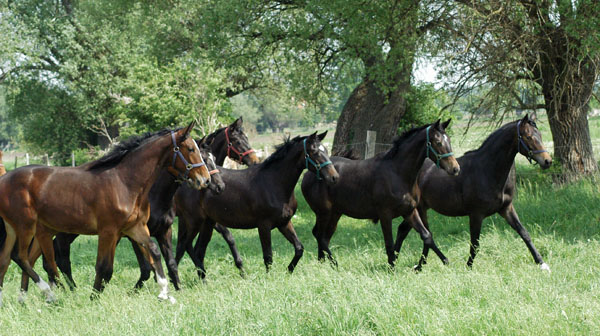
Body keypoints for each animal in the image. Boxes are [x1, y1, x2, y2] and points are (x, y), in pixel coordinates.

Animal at [0, 122, 211, 306]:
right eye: (190, 149)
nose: (206, 180)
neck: (124, 182)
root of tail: (4, 179)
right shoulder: (109, 231)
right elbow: (104, 267)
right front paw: (94, 297)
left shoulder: (136, 228)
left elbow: (154, 252)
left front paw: (164, 292)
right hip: (26, 226)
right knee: (21, 257)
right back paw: (50, 294)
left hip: (21, 230)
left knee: (10, 258)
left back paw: (19, 299)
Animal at [44, 117, 255, 290]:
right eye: (237, 141)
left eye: (212, 158)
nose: (217, 185)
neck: (155, 194)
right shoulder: (138, 233)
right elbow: (149, 266)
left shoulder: (173, 227)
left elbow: (178, 256)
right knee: (60, 252)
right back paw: (68, 288)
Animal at [176, 131, 340, 278]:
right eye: (314, 152)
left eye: (325, 150)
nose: (334, 177)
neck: (273, 184)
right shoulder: (264, 225)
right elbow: (268, 256)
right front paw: (269, 278)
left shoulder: (284, 223)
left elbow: (299, 248)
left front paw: (288, 271)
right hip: (194, 221)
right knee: (186, 245)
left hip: (207, 223)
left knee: (198, 250)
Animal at [300, 119, 460, 270]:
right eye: (438, 142)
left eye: (449, 140)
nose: (455, 168)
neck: (397, 173)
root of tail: (308, 174)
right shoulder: (385, 215)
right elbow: (389, 243)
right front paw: (391, 268)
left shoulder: (410, 211)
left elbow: (426, 236)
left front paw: (444, 261)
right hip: (323, 212)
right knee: (319, 235)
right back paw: (330, 264)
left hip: (335, 213)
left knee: (324, 237)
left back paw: (325, 264)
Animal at [394, 114, 552, 272]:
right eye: (528, 136)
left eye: (540, 135)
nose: (547, 161)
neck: (487, 170)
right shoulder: (476, 215)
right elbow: (475, 244)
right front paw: (468, 267)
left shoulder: (506, 208)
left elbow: (524, 233)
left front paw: (542, 263)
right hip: (418, 209)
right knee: (420, 233)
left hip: (418, 210)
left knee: (407, 231)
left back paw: (409, 265)